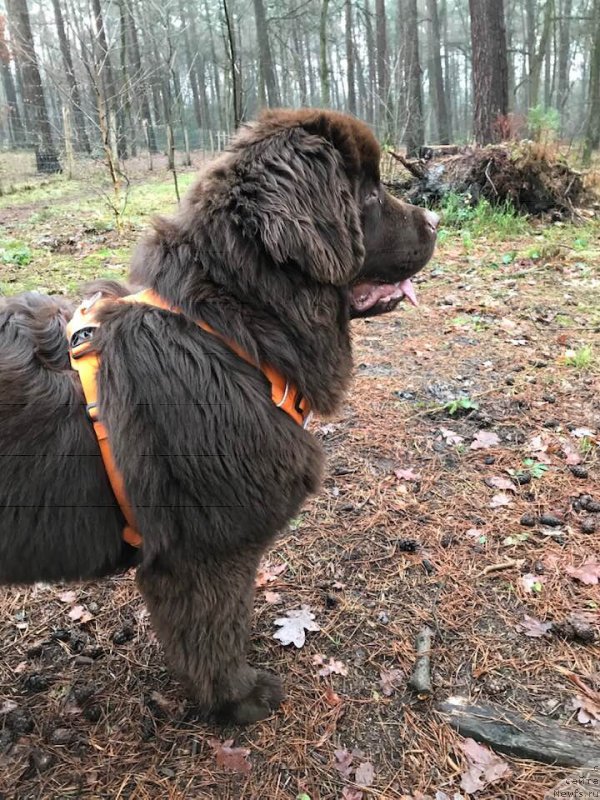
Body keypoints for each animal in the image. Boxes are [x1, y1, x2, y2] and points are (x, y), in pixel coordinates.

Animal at [0, 108, 436, 724]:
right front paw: (240, 699)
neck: (231, 330)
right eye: (370, 193)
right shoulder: (206, 551)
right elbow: (213, 632)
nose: (436, 219)